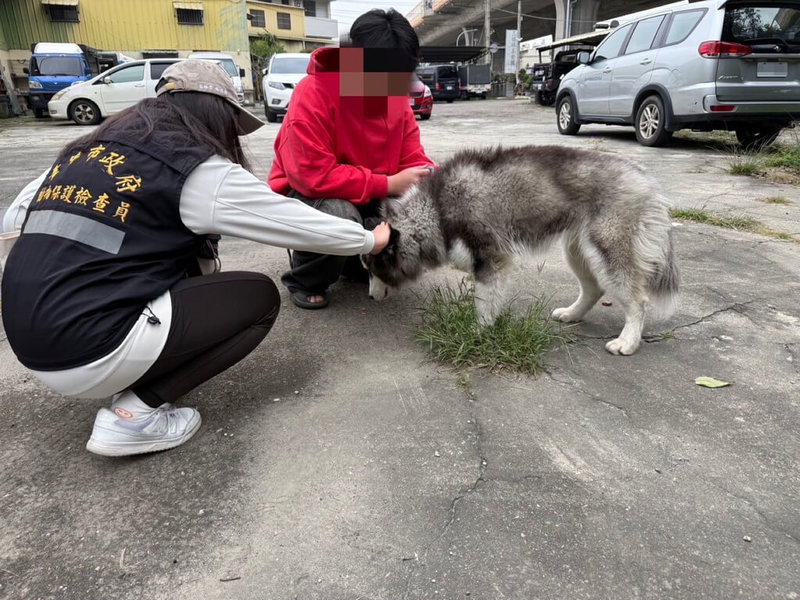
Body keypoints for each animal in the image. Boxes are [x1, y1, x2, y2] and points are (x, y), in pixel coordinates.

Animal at [364, 144, 680, 356]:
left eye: (373, 269)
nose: (369, 296)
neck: (436, 209)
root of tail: (647, 180)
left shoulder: (491, 260)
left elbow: (483, 303)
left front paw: (478, 332)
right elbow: (490, 299)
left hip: (608, 251)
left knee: (638, 301)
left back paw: (628, 341)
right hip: (578, 250)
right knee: (594, 288)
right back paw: (572, 314)